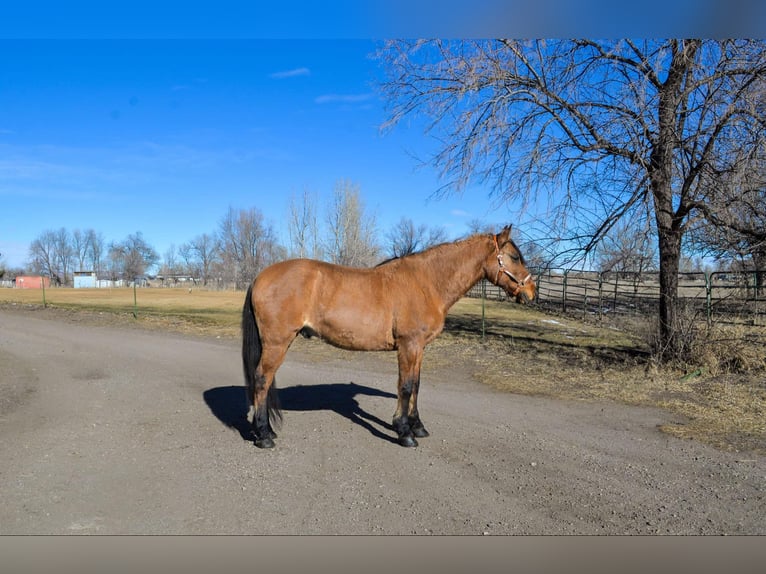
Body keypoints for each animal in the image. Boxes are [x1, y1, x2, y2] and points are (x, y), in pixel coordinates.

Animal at [243, 225, 536, 450]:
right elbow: (405, 387)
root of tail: (259, 276)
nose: (531, 292)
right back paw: (264, 436)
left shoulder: (419, 348)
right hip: (277, 343)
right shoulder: (409, 345)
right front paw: (404, 433)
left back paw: (265, 430)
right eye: (514, 257)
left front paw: (417, 427)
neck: (426, 282)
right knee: (261, 380)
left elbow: (416, 385)